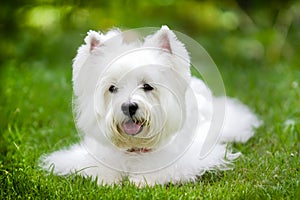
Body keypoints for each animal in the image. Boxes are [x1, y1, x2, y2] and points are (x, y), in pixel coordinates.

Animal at [39, 25, 260, 187]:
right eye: (112, 88)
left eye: (147, 86)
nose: (129, 107)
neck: (134, 149)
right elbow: (97, 167)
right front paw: (107, 179)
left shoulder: (187, 159)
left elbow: (163, 168)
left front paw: (140, 181)